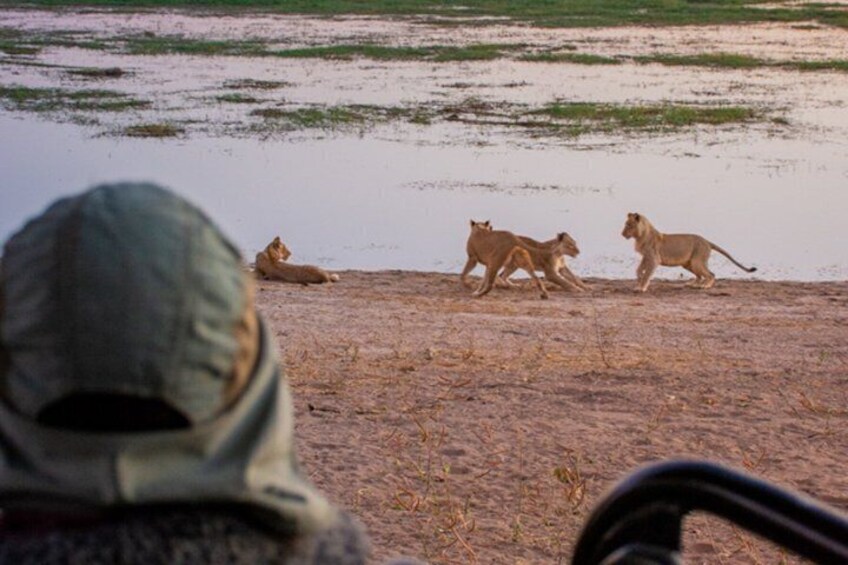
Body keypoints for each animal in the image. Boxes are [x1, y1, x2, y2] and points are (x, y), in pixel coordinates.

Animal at [621, 212, 756, 292]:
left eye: (628, 225)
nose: (622, 234)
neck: (640, 236)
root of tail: (707, 241)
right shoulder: (645, 257)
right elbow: (639, 269)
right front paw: (638, 280)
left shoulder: (653, 258)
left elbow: (647, 274)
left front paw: (641, 287)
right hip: (687, 264)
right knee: (700, 276)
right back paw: (692, 284)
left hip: (697, 261)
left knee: (711, 274)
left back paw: (704, 286)